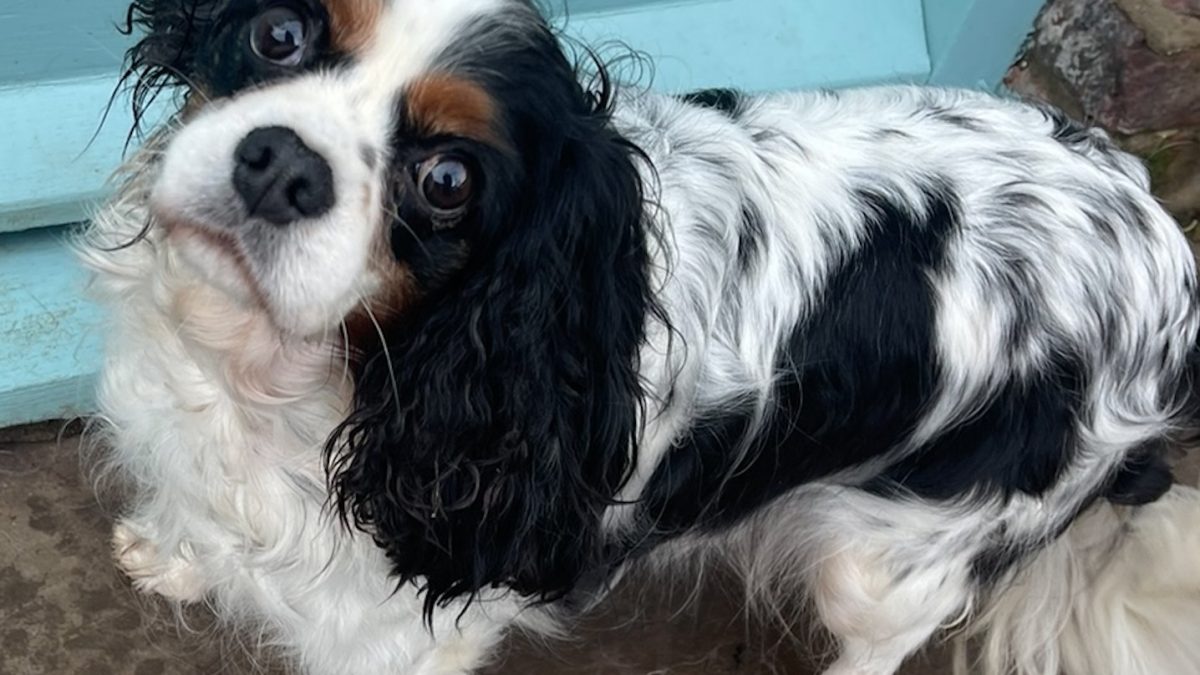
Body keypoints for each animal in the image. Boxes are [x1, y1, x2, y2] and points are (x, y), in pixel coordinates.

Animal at [79, 1, 1200, 672]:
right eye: (278, 34)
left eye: (447, 180)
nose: (281, 162)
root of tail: (1160, 233)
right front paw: (177, 557)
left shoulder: (396, 633)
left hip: (898, 557)